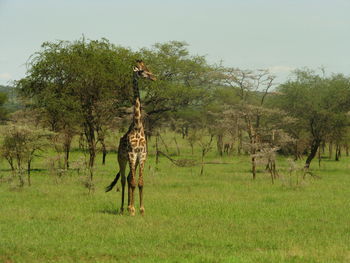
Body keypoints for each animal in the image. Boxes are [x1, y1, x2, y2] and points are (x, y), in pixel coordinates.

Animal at [105, 59, 156, 217]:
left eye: (147, 67)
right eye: (141, 71)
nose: (154, 77)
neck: (138, 126)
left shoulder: (142, 155)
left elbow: (139, 182)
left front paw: (141, 209)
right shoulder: (132, 154)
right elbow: (133, 182)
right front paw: (133, 210)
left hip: (132, 160)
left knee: (128, 178)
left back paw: (128, 206)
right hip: (121, 159)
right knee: (123, 180)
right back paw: (123, 209)